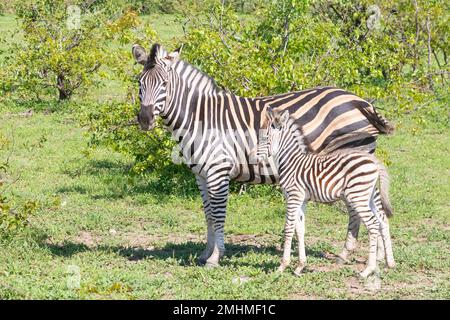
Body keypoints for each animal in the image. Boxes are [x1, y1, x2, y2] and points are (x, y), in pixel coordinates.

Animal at [255, 107, 396, 278]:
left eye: (265, 137)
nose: (253, 157)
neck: (292, 161)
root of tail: (373, 161)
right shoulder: (302, 199)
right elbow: (300, 230)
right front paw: (300, 266)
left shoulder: (293, 196)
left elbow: (288, 228)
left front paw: (282, 266)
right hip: (367, 195)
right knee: (381, 220)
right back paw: (389, 263)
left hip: (357, 196)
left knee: (373, 224)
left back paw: (367, 270)